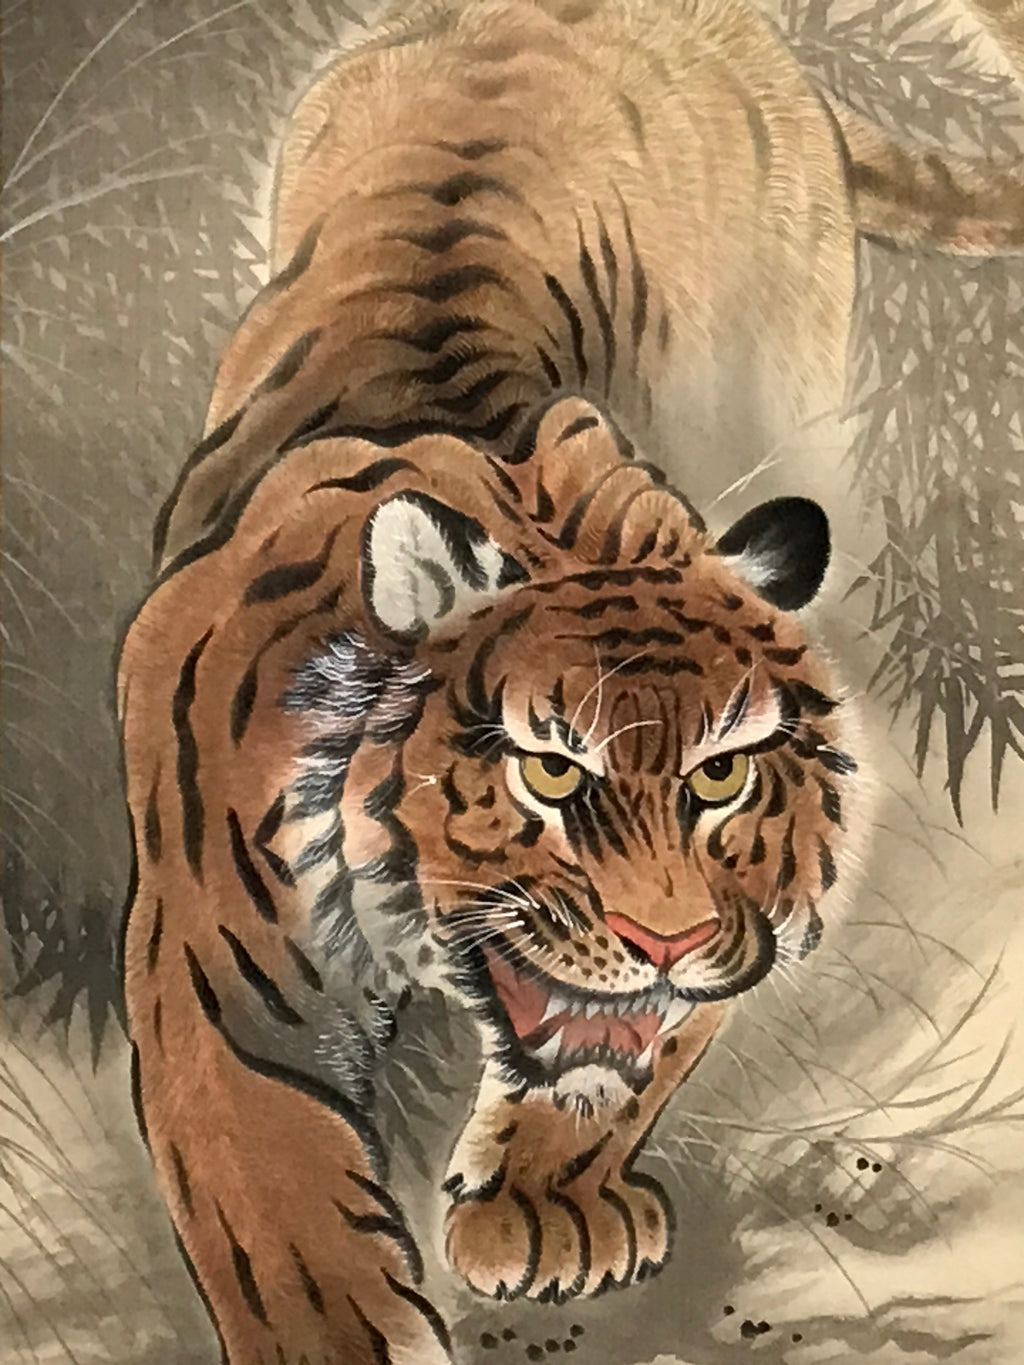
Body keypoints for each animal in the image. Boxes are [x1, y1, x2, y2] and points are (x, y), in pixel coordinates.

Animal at [117, 1, 1024, 1361]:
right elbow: (273, 1208)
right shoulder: (207, 971)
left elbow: (628, 1060)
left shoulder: (742, 918)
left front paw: (542, 1214)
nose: (667, 937)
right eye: (548, 769)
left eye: (721, 776)